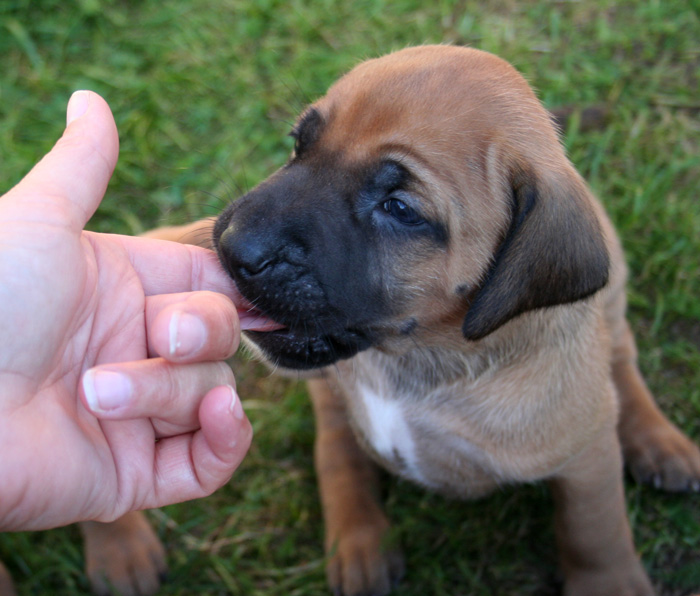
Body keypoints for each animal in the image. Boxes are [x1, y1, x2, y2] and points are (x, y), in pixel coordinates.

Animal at [160, 46, 700, 596]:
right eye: (299, 144)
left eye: (399, 209)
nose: (234, 246)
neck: (416, 359)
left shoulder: (586, 458)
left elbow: (595, 531)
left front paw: (610, 580)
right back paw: (360, 540)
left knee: (620, 356)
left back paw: (659, 441)